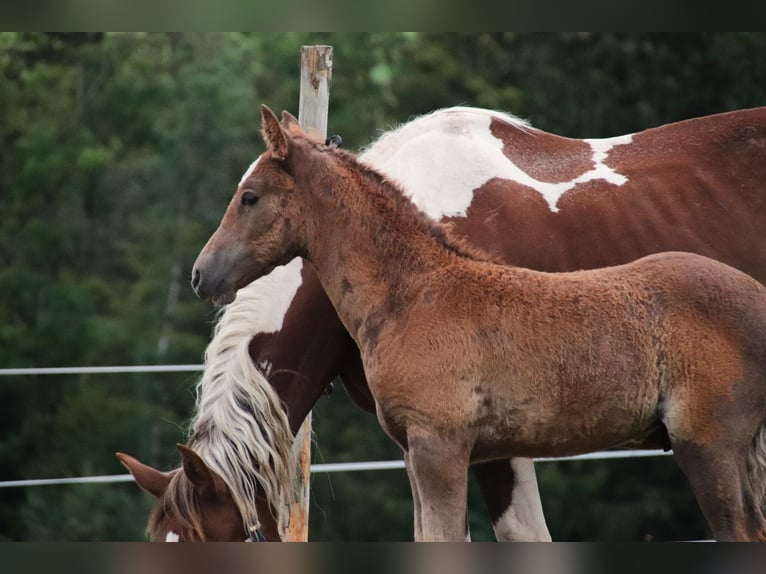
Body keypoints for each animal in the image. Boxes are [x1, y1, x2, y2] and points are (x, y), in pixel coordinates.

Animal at [120, 104, 766, 544]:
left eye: (249, 196)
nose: (202, 275)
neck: (417, 283)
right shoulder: (416, 446)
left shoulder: (458, 444)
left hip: (707, 447)